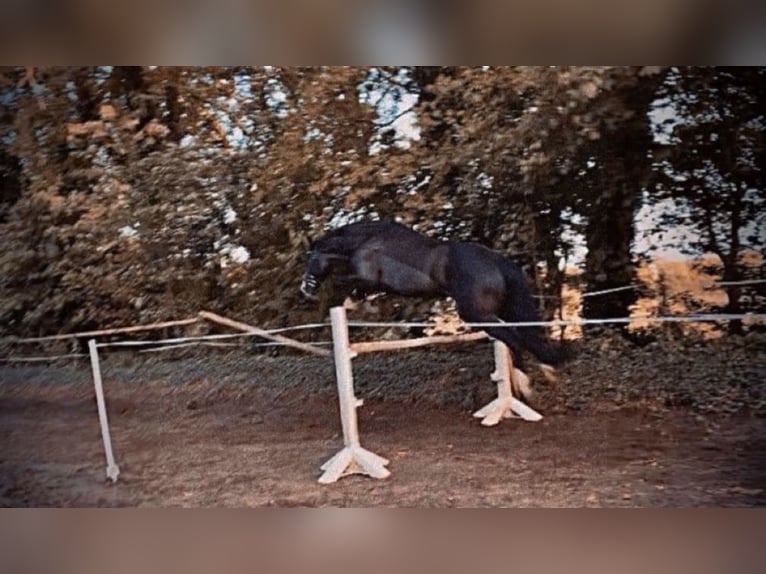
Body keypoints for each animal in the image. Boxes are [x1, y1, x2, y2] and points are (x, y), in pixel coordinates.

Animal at [300, 220, 566, 386]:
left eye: (310, 260)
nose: (305, 289)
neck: (367, 242)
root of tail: (497, 262)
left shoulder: (367, 278)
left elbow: (342, 284)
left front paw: (350, 304)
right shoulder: (373, 285)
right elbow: (357, 292)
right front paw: (359, 305)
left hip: (476, 314)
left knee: (515, 339)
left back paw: (525, 383)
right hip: (505, 309)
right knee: (526, 336)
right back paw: (546, 372)